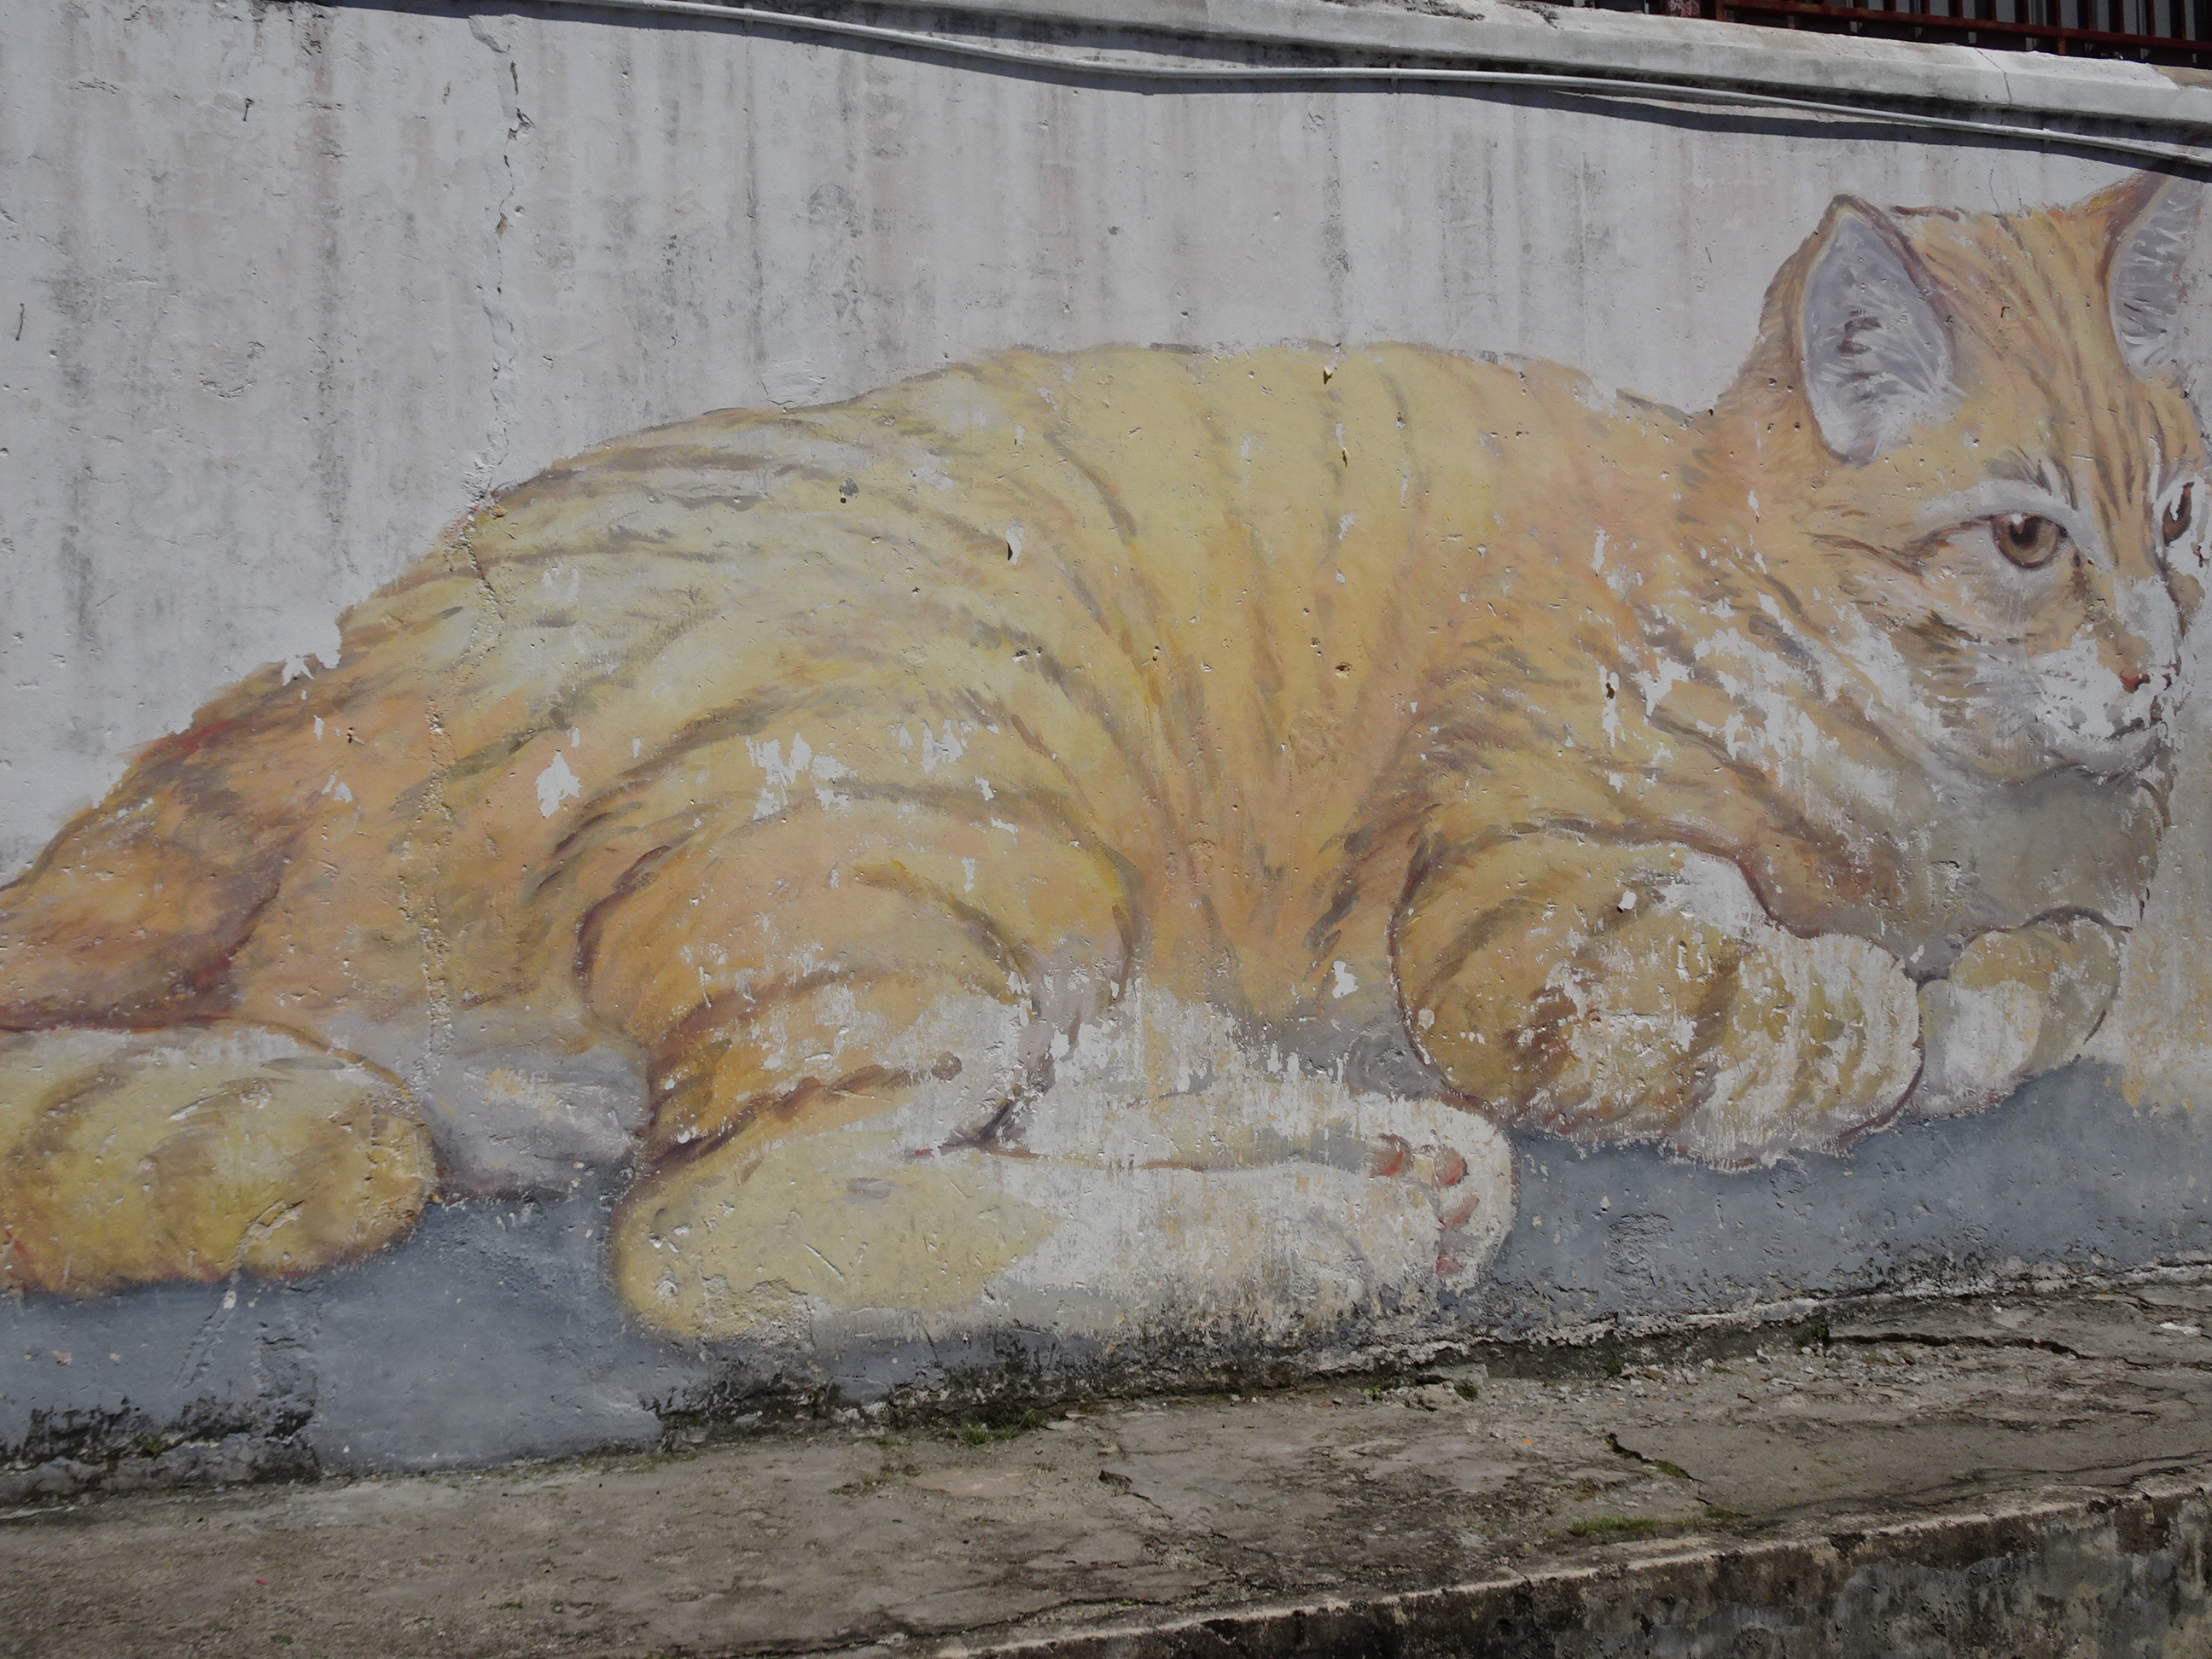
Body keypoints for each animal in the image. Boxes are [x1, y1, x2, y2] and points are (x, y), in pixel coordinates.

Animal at [0, 173, 2201, 1344]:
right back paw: (1315, 1229)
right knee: (731, 1229)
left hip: (1024, 889)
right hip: (940, 797)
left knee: (1076, 1096)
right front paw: (1954, 1001)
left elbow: (2031, 968)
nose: (2158, 667)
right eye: (2027, 539)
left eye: (2177, 519)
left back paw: (1362, 1162)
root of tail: (311, 684)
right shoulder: (1538, 930)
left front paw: (2035, 965)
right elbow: (1838, 1021)